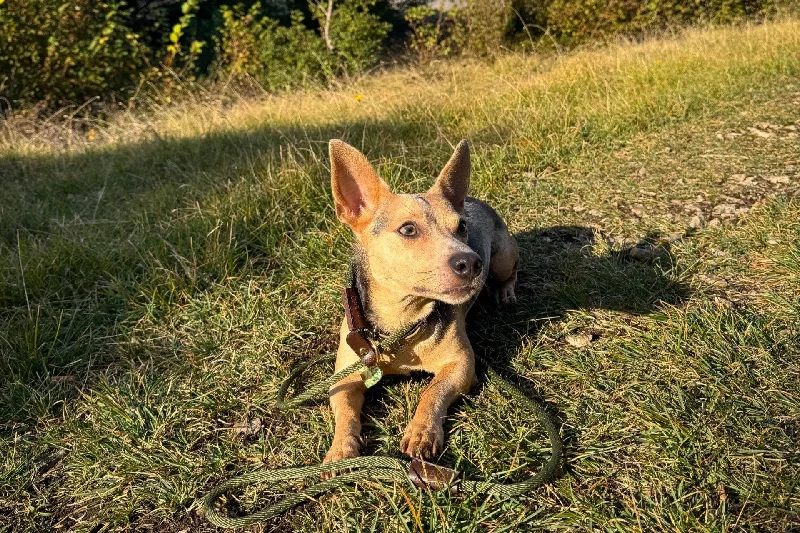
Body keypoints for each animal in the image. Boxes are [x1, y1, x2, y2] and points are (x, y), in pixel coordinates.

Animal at [324, 139, 520, 468]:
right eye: (408, 229)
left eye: (462, 228)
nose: (471, 262)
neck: (399, 325)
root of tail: (473, 199)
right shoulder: (345, 377)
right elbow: (346, 413)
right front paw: (340, 450)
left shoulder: (461, 364)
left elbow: (432, 391)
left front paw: (422, 431)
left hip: (503, 258)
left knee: (512, 269)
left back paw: (505, 292)